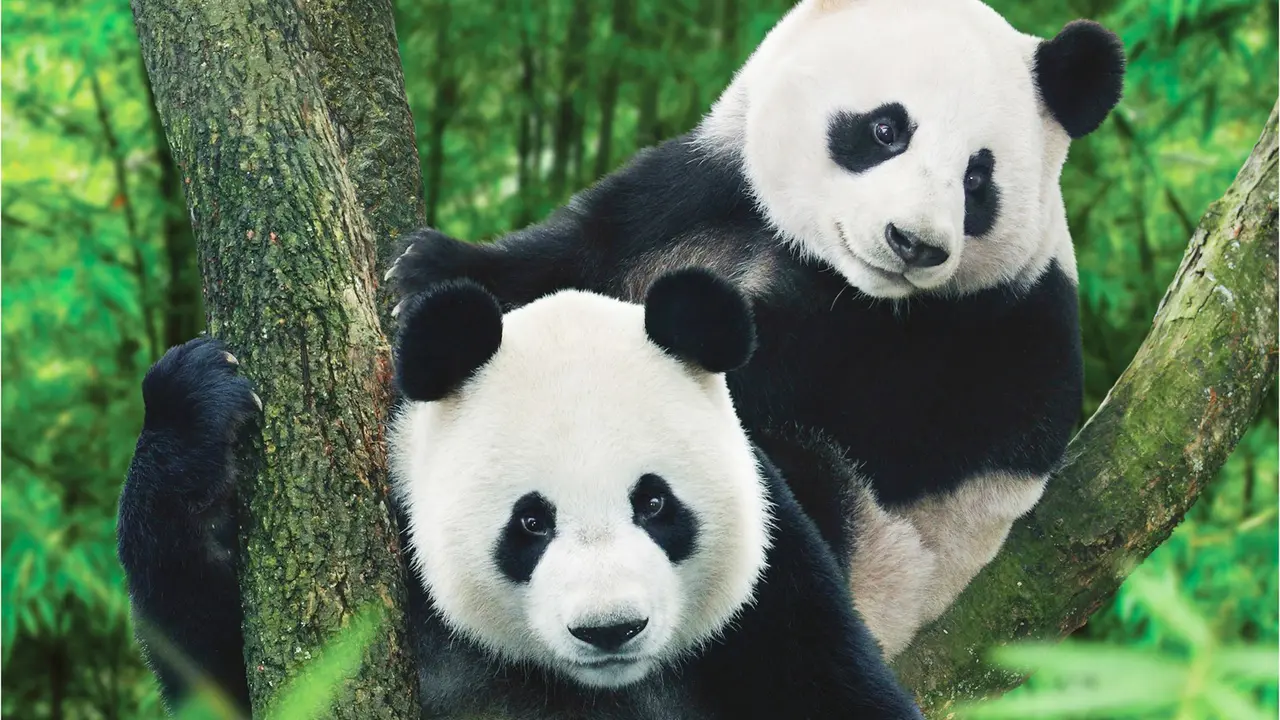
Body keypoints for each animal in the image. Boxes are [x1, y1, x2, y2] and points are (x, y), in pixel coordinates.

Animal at [116, 270, 925, 719]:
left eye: (655, 504)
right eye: (531, 522)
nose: (610, 629)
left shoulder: (777, 595)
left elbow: (846, 696)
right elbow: (218, 669)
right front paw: (196, 401)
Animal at [386, 0, 1126, 657]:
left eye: (977, 178)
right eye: (886, 130)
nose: (914, 244)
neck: (835, 269)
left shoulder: (956, 339)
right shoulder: (706, 190)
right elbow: (582, 253)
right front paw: (429, 272)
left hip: (882, 563)